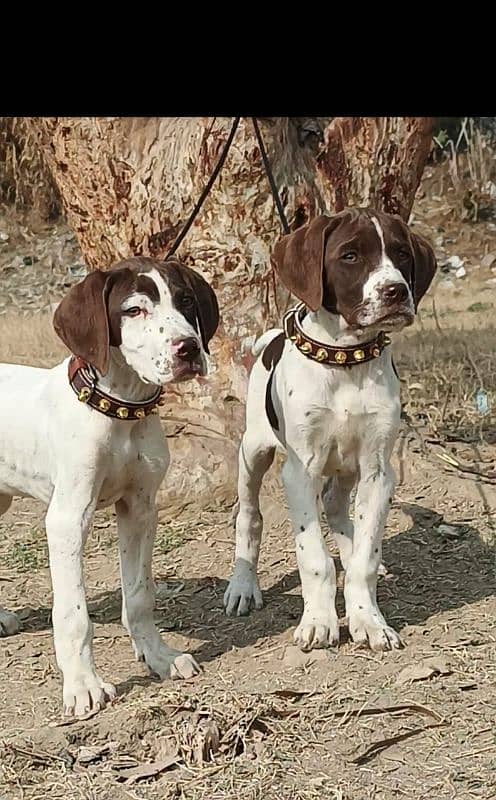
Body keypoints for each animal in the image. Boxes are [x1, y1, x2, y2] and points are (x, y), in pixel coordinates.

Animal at [0, 258, 218, 720]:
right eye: (133, 310)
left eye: (186, 301)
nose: (189, 349)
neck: (120, 411)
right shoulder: (68, 519)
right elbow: (73, 615)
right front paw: (82, 684)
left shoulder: (140, 508)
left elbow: (139, 596)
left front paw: (159, 657)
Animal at [223, 209, 436, 652]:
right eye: (350, 256)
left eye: (402, 253)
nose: (396, 291)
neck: (346, 358)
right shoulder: (299, 471)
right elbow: (314, 558)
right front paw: (319, 622)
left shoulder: (377, 471)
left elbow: (366, 558)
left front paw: (368, 620)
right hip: (253, 453)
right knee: (249, 516)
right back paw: (243, 586)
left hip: (347, 467)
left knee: (338, 508)